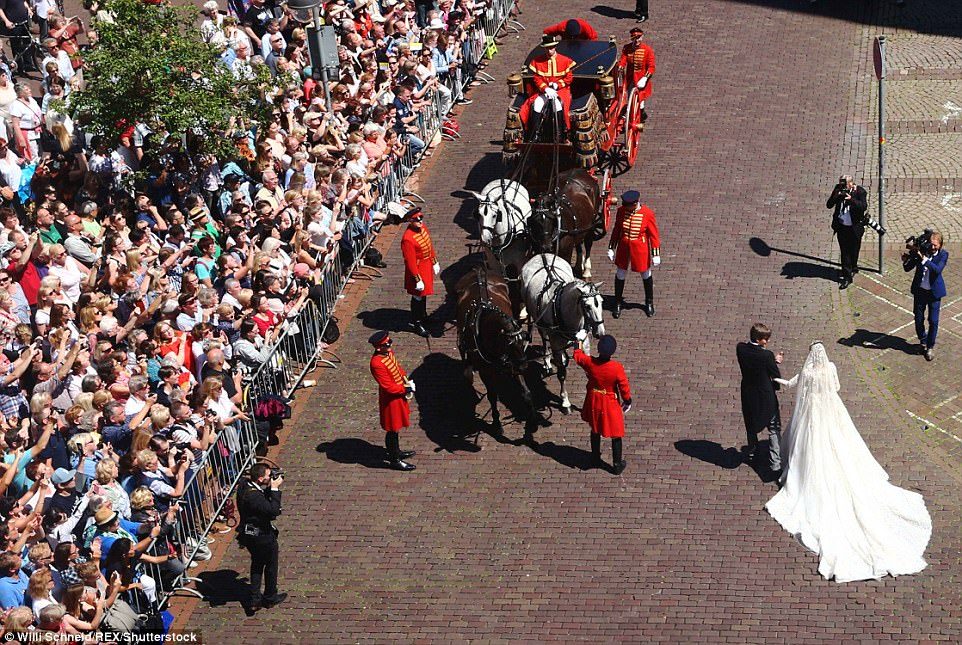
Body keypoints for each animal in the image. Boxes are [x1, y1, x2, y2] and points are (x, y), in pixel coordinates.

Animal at [454, 264, 536, 436]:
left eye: (522, 341)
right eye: (509, 344)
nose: (524, 366)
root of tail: (478, 270)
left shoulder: (514, 364)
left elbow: (526, 392)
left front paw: (532, 421)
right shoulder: (486, 371)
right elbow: (492, 396)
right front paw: (497, 423)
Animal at [520, 253, 604, 412]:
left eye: (601, 302)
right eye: (587, 306)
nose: (600, 333)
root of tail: (542, 254)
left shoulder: (584, 341)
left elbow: (588, 368)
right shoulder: (556, 343)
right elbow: (562, 374)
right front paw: (565, 401)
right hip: (539, 322)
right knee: (544, 338)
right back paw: (547, 362)